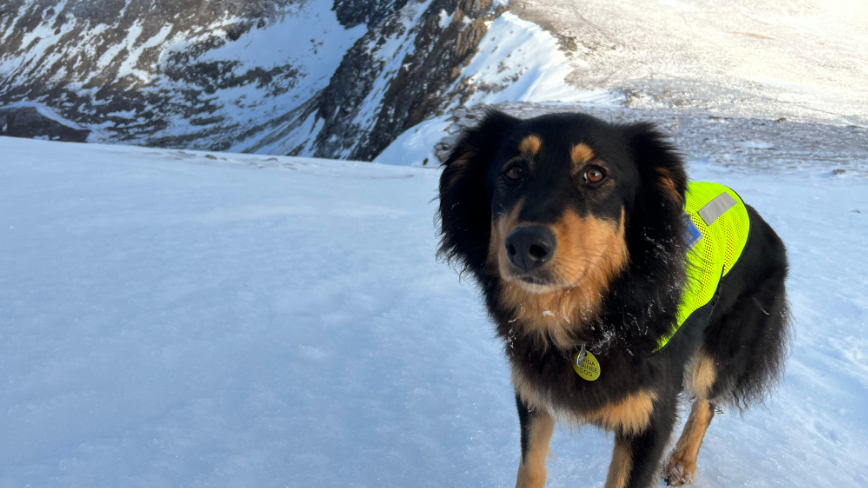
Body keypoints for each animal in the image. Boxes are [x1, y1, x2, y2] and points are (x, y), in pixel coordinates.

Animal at [438, 110, 792, 488]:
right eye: (513, 172)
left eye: (595, 174)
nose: (524, 245)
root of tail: (758, 218)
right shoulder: (533, 395)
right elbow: (530, 469)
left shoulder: (651, 418)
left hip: (717, 352)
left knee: (705, 404)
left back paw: (682, 463)